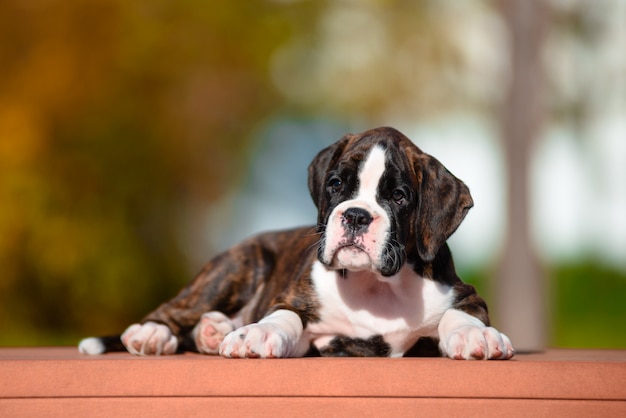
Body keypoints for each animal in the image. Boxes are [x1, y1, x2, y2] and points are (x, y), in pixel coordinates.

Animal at [79, 127, 512, 360]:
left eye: (399, 196)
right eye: (336, 184)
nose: (356, 215)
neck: (376, 286)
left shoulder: (468, 296)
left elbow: (460, 315)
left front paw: (476, 336)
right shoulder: (298, 311)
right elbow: (283, 316)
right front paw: (256, 334)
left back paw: (213, 331)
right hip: (237, 267)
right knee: (176, 310)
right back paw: (155, 334)